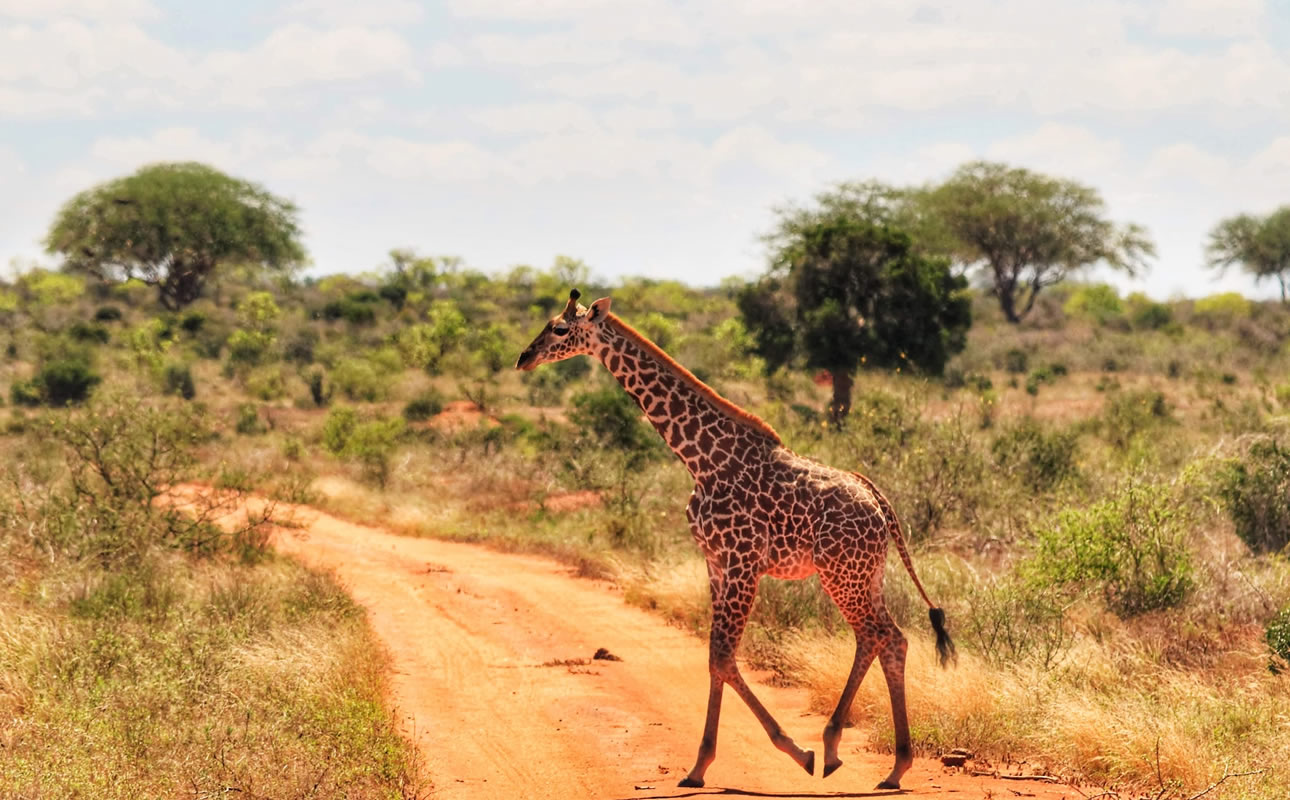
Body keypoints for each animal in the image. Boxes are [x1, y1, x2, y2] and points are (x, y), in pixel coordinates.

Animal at [516, 290, 959, 789]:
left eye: (559, 329)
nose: (523, 357)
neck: (700, 460)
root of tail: (880, 505)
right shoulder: (715, 562)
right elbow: (716, 657)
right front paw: (699, 767)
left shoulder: (743, 561)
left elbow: (724, 656)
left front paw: (794, 752)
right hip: (866, 574)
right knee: (887, 639)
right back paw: (885, 763)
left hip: (841, 574)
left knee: (880, 636)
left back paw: (849, 752)